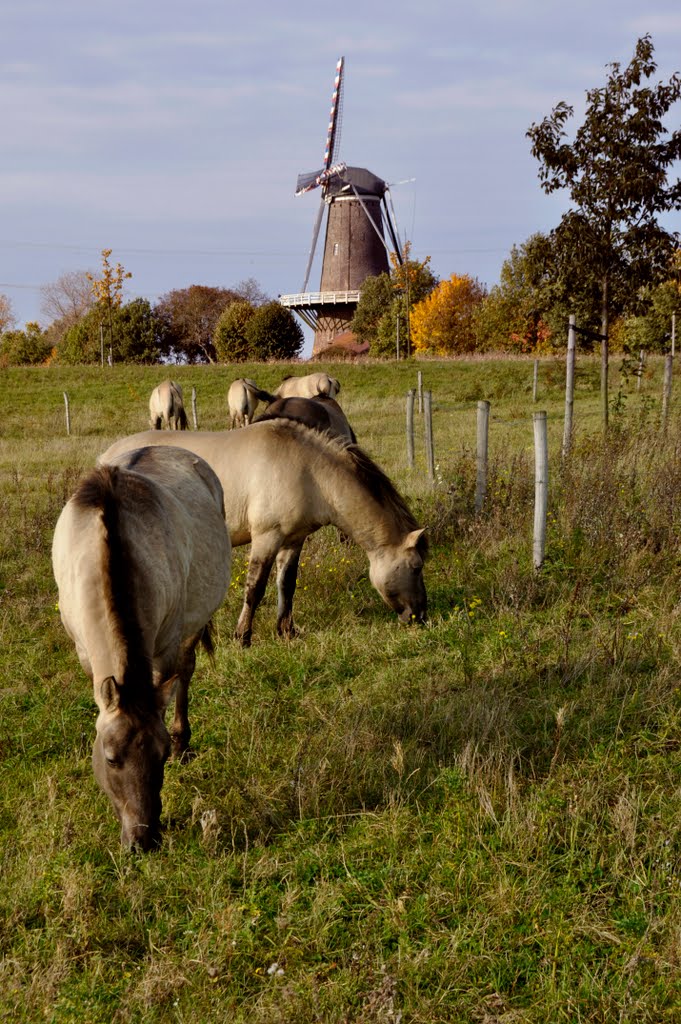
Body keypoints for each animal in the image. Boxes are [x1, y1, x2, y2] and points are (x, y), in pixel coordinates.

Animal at [51, 448, 231, 847]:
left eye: (160, 757)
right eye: (110, 758)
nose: (143, 840)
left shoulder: (164, 647)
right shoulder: (84, 653)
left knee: (186, 670)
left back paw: (184, 741)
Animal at [98, 417, 428, 647]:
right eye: (415, 567)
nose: (420, 615)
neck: (309, 472)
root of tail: (106, 458)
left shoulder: (294, 540)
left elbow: (287, 584)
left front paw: (286, 631)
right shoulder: (266, 538)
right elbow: (255, 588)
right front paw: (242, 637)